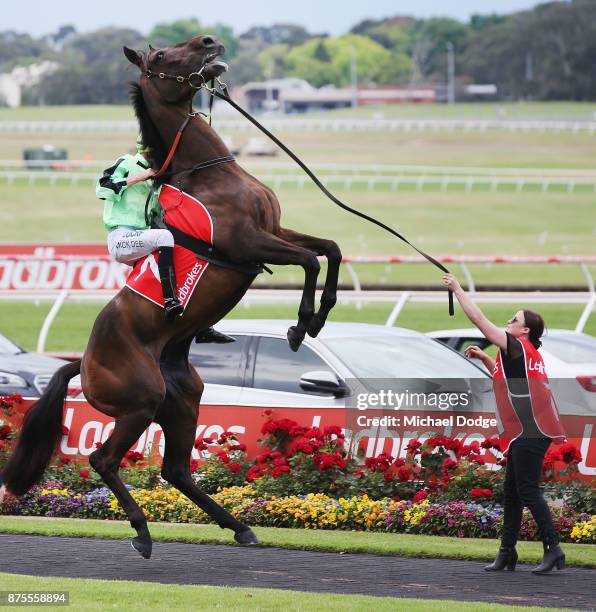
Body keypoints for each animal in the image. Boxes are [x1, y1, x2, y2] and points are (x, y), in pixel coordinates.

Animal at [0, 34, 342, 560]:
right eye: (161, 56)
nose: (209, 41)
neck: (208, 173)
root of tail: (83, 362)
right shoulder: (247, 243)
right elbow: (309, 261)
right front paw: (303, 323)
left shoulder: (274, 230)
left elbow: (329, 250)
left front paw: (321, 314)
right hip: (141, 400)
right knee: (104, 459)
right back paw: (142, 530)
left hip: (183, 400)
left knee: (176, 469)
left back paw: (239, 526)